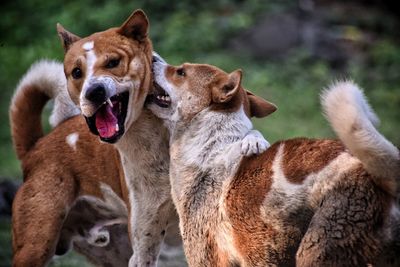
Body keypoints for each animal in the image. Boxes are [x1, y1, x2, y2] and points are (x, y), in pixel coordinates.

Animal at [149, 57, 400, 267]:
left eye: (181, 72)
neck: (210, 147)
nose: (152, 57)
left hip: (316, 250)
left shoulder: (207, 258)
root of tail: (384, 178)